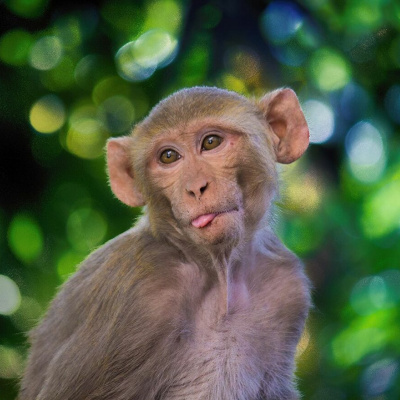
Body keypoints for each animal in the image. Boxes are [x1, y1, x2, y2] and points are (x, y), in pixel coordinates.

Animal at [18, 86, 310, 400]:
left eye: (211, 142)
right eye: (169, 156)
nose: (195, 187)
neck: (219, 274)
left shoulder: (287, 286)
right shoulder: (138, 294)